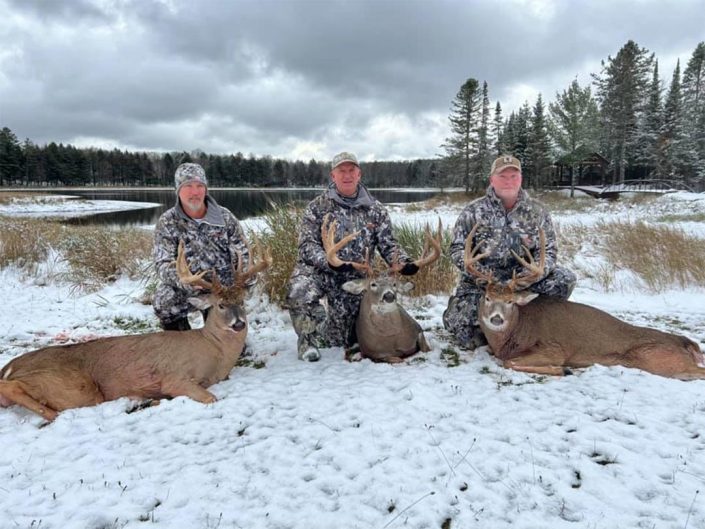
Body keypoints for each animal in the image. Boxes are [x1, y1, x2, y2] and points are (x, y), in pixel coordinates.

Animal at [0, 240, 270, 420]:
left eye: (242, 302)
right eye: (220, 304)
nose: (238, 324)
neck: (214, 353)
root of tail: (10, 366)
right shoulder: (175, 377)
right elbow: (210, 398)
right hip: (73, 387)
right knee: (11, 387)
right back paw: (52, 415)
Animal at [320, 216, 440, 364]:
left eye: (394, 284)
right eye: (373, 284)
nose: (389, 296)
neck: (392, 339)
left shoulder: (418, 331)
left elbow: (425, 348)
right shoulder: (376, 354)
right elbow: (396, 359)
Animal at [462, 223, 704, 380]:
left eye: (511, 301)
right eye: (487, 297)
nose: (496, 318)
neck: (513, 335)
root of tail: (686, 342)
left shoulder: (554, 348)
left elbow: (509, 362)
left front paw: (563, 370)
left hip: (654, 358)